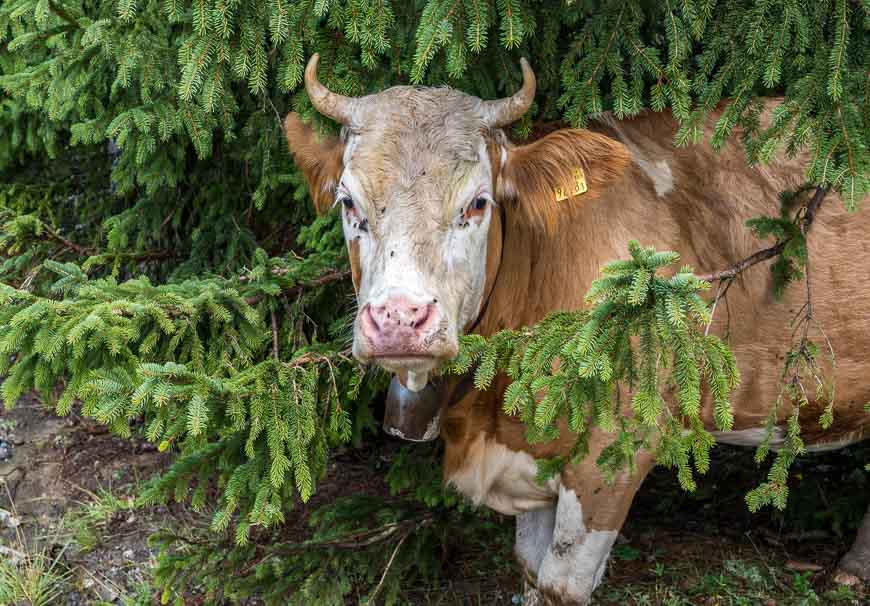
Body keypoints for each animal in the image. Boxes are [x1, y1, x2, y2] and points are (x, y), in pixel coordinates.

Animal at [286, 54, 870, 604]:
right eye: (348, 201)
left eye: (477, 203)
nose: (399, 318)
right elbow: (529, 569)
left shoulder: (616, 452)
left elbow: (560, 583)